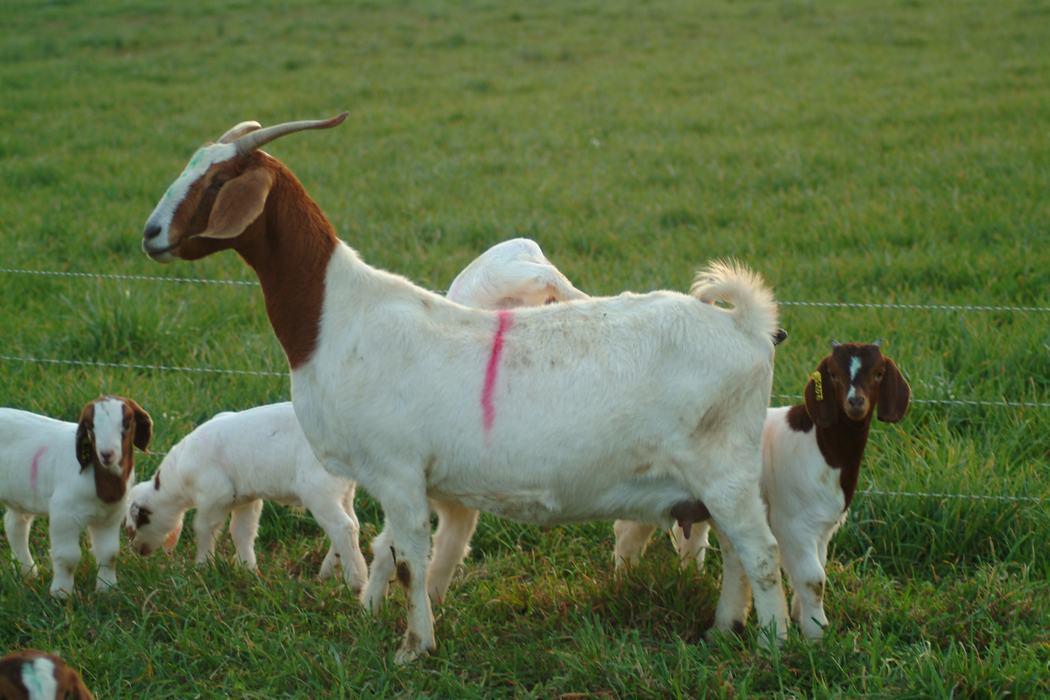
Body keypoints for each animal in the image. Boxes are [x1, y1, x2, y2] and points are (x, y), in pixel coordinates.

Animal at [0, 397, 152, 598]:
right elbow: (68, 557)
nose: (106, 454)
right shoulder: (64, 514)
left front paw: (107, 589)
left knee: (15, 525)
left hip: (22, 494)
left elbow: (109, 554)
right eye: (91, 427)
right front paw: (61, 594)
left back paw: (27, 572)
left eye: (127, 424)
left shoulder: (111, 516)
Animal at [124, 402, 369, 590]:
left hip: (318, 491)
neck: (178, 480)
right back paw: (327, 572)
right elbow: (242, 532)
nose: (138, 550)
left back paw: (356, 581)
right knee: (352, 524)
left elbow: (203, 529)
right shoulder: (245, 499)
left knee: (343, 527)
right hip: (343, 491)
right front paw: (248, 569)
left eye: (141, 519)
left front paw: (202, 566)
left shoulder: (214, 496)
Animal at [614, 342, 910, 637]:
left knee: (689, 538)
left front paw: (802, 618)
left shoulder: (822, 526)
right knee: (627, 533)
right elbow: (813, 578)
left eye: (879, 373)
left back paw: (686, 577)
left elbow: (814, 570)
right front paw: (816, 634)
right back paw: (625, 578)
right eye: (834, 375)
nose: (856, 402)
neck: (822, 447)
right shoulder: (791, 523)